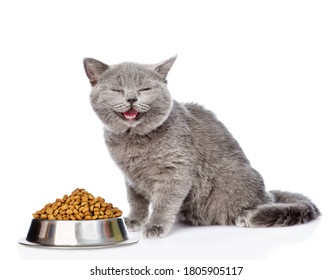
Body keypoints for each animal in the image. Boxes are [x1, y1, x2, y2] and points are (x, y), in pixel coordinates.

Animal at [83, 55, 320, 238]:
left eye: (145, 88)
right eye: (117, 90)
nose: (132, 98)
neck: (133, 141)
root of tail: (266, 194)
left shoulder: (176, 170)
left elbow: (164, 202)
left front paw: (155, 226)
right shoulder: (131, 177)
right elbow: (136, 200)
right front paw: (134, 220)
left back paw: (247, 216)